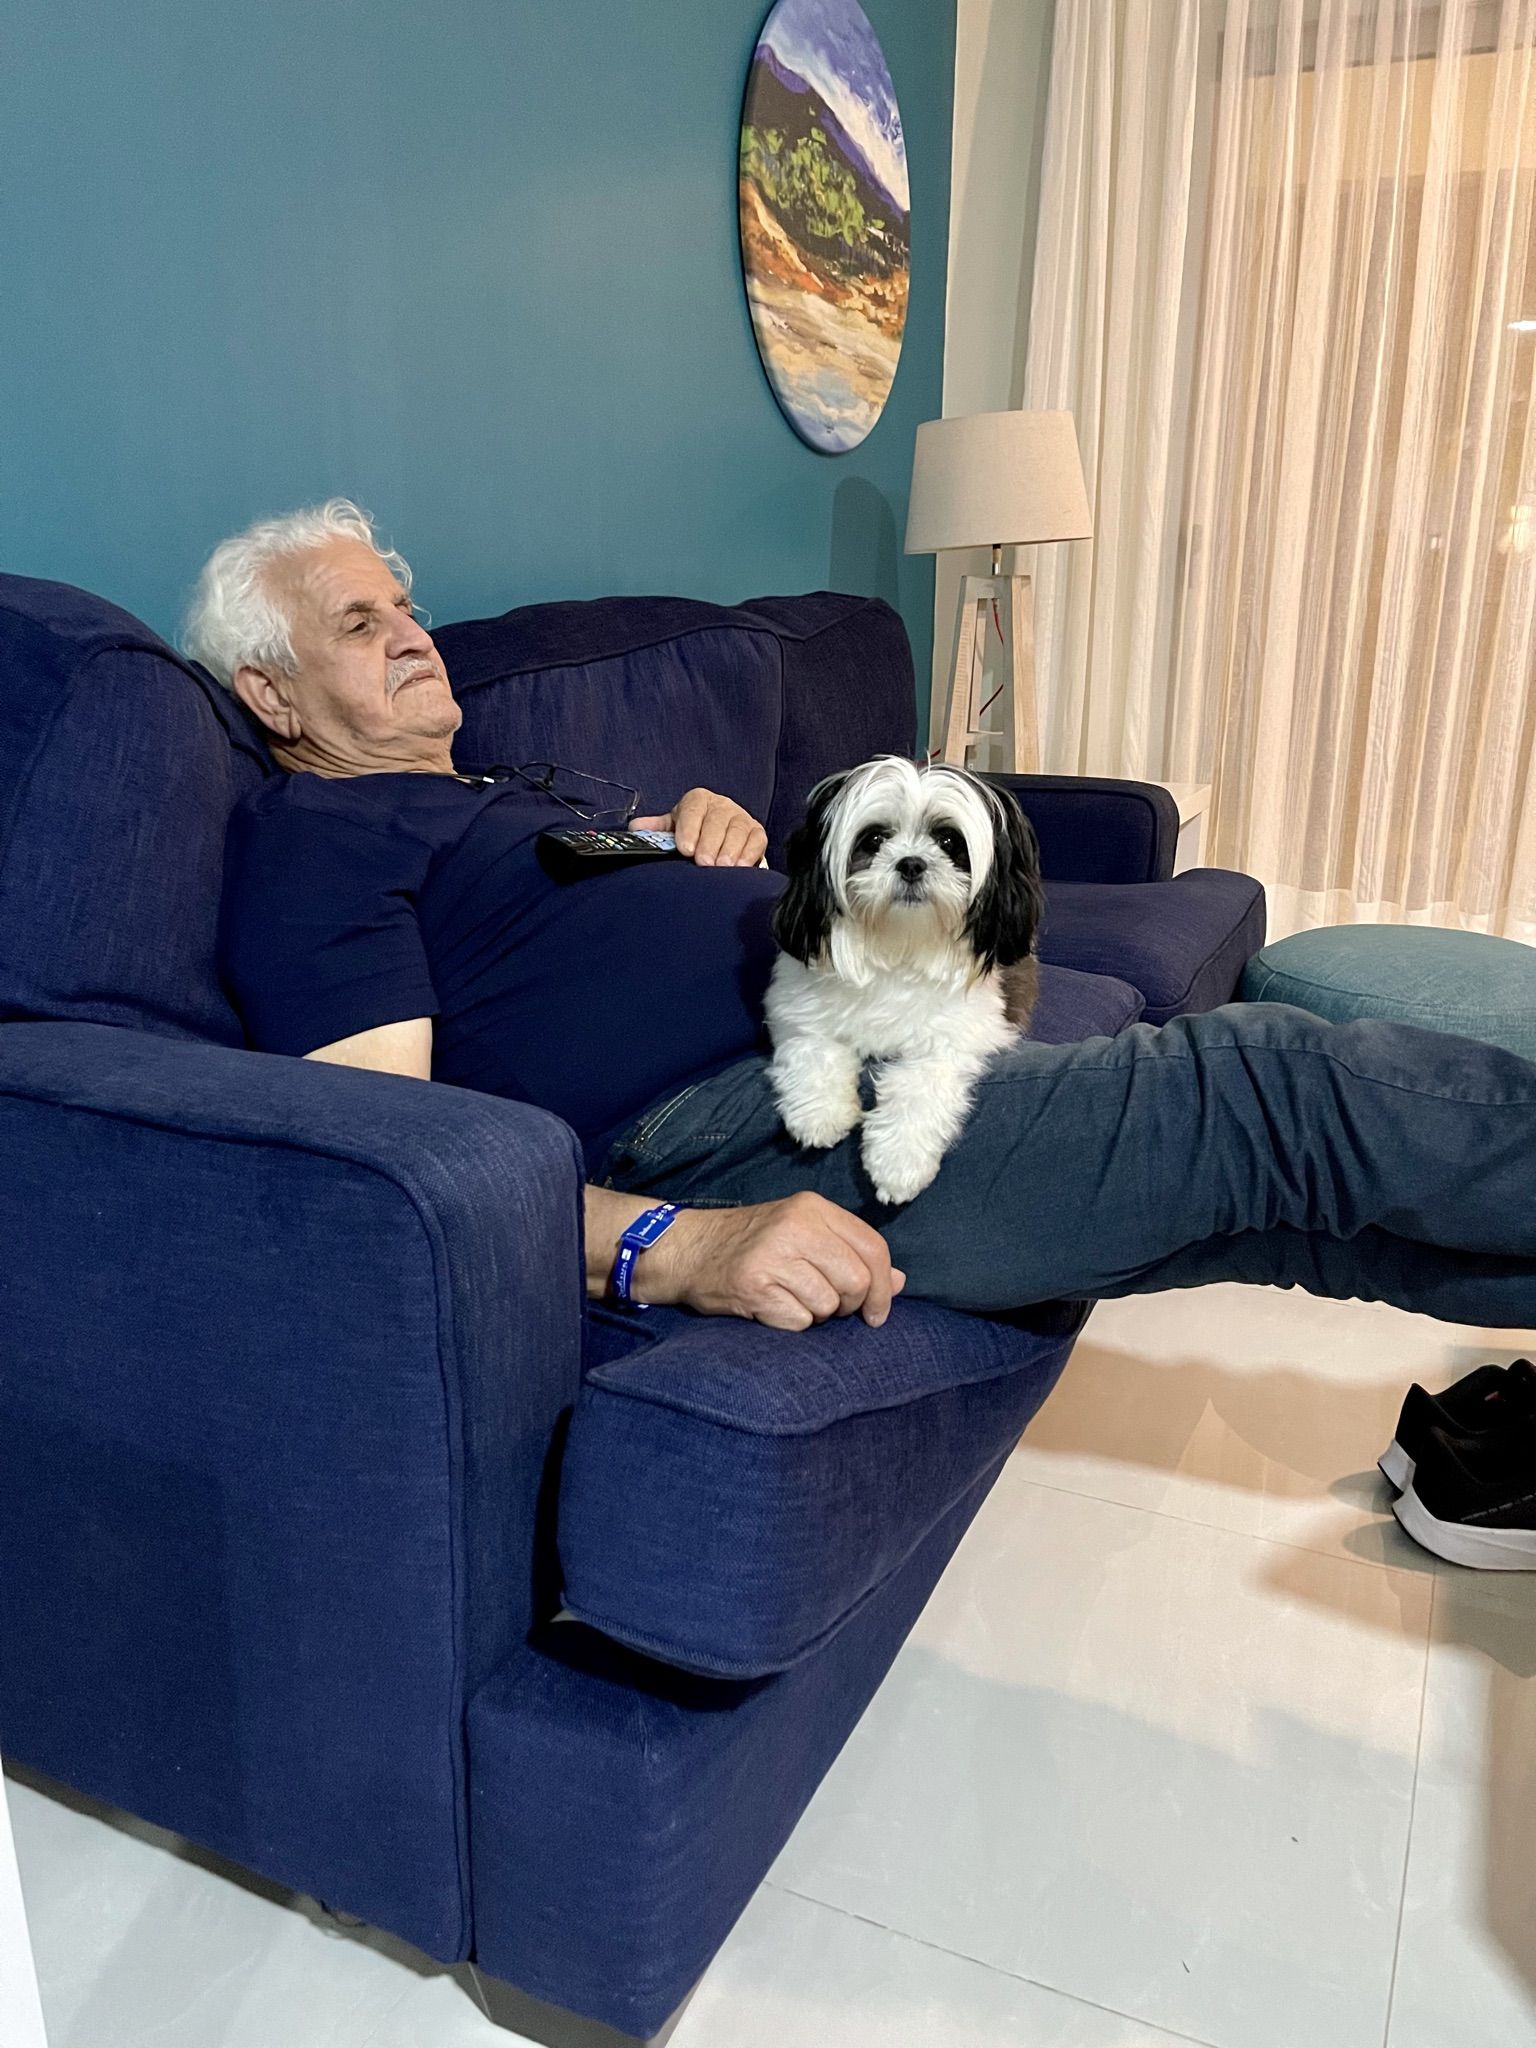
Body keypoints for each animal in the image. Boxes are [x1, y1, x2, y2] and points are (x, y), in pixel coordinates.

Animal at [765, 755, 1045, 1206]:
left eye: (948, 842)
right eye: (875, 839)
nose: (911, 862)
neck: (898, 944)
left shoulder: (957, 1038)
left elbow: (919, 1084)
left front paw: (899, 1161)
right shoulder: (797, 1007)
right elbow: (813, 1047)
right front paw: (820, 1112)